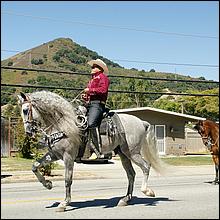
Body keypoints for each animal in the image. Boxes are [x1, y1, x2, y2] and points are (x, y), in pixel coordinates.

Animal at [18, 90, 164, 211]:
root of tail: (141, 122)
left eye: (25, 110)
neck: (62, 124)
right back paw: (125, 199)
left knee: (146, 166)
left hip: (132, 153)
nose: (28, 132)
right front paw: (47, 184)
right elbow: (35, 166)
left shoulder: (68, 157)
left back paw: (147, 191)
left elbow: (67, 180)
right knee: (131, 174)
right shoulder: (54, 154)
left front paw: (64, 203)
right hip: (124, 154)